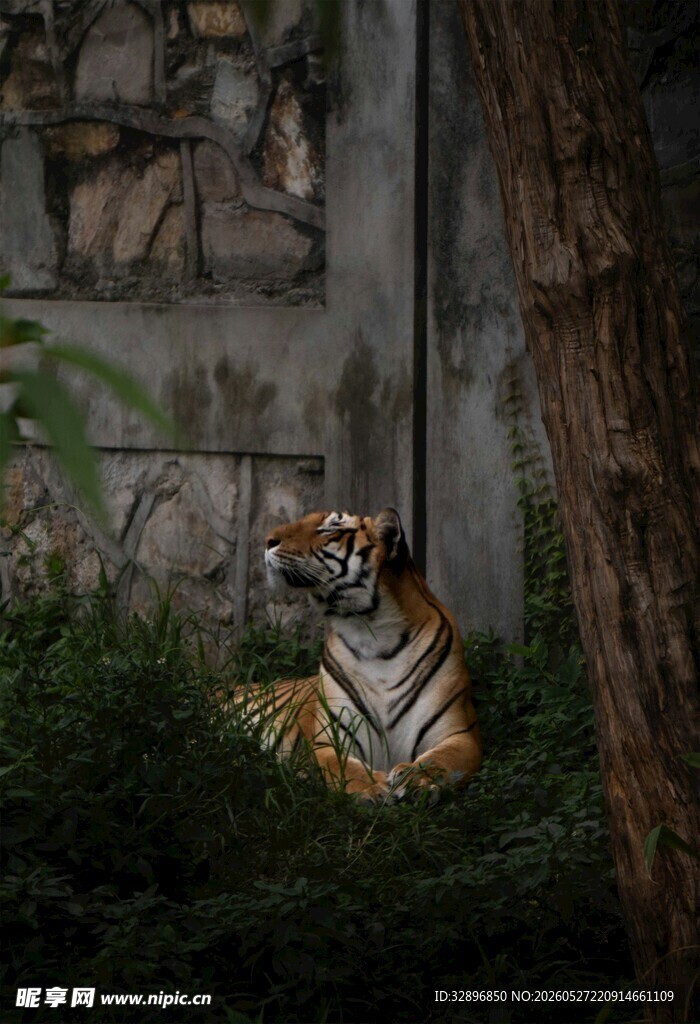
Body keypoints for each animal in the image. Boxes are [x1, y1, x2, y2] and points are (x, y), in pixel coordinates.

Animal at [246, 507, 482, 801]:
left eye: (328, 529)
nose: (267, 541)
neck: (375, 635)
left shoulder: (460, 735)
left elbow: (439, 760)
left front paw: (415, 779)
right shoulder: (329, 738)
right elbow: (340, 765)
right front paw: (371, 787)